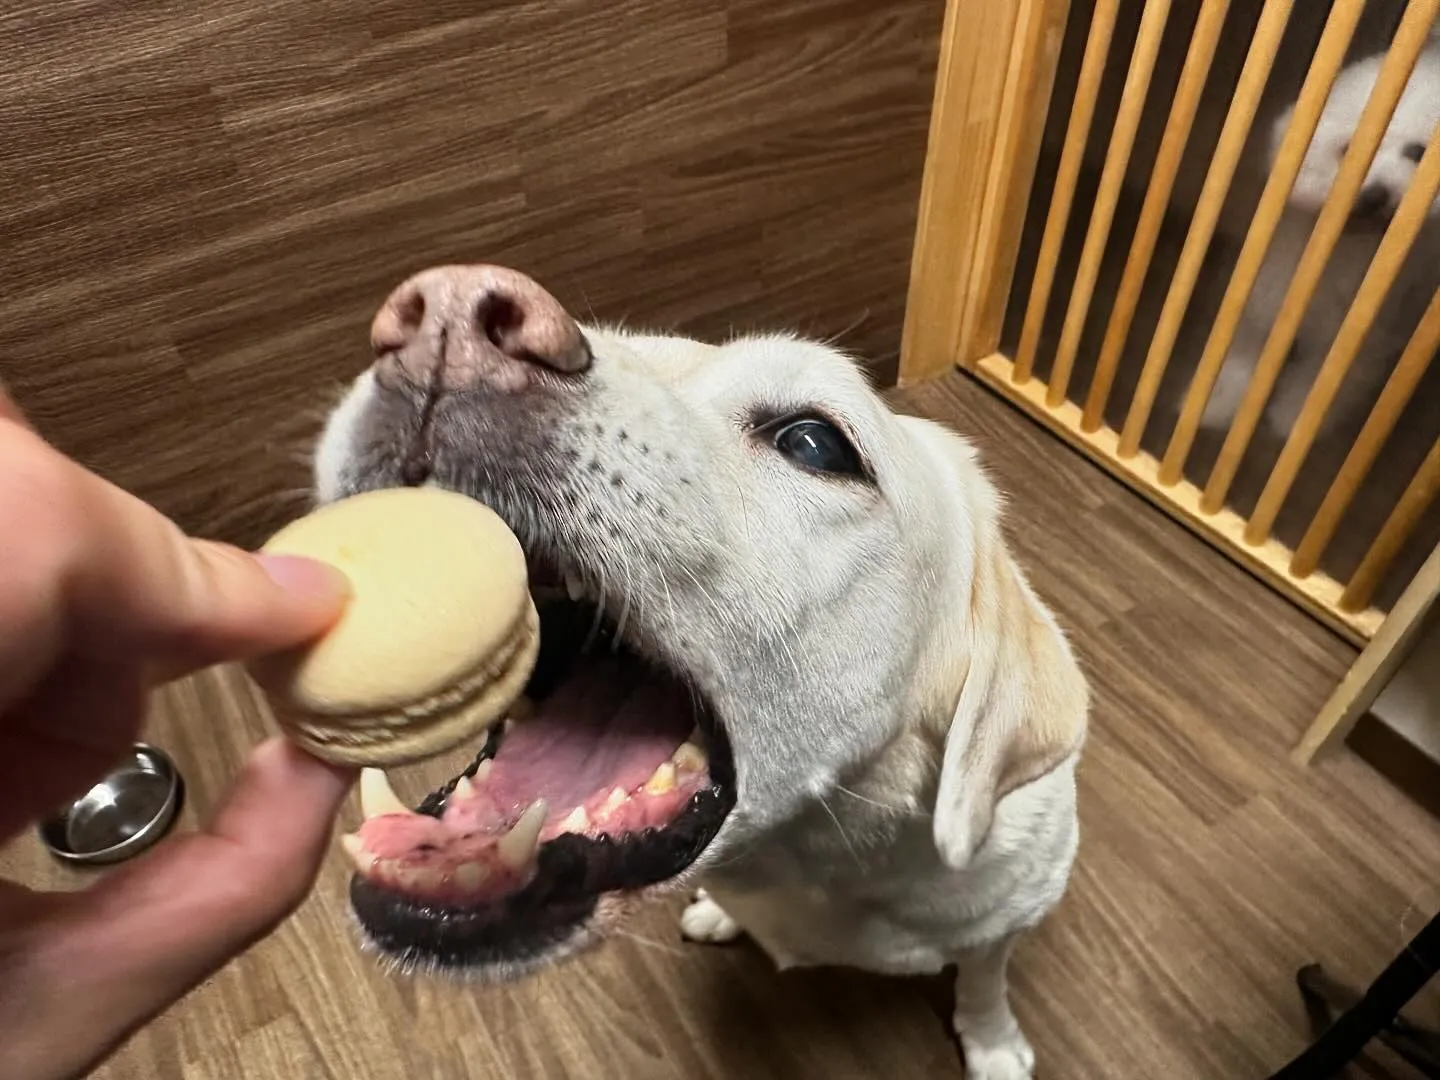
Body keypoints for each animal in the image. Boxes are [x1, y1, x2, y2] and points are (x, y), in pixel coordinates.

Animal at [309, 264, 1082, 1080]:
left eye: (816, 443)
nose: (446, 319)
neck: (820, 862)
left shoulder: (1004, 921)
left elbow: (984, 978)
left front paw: (992, 1042)